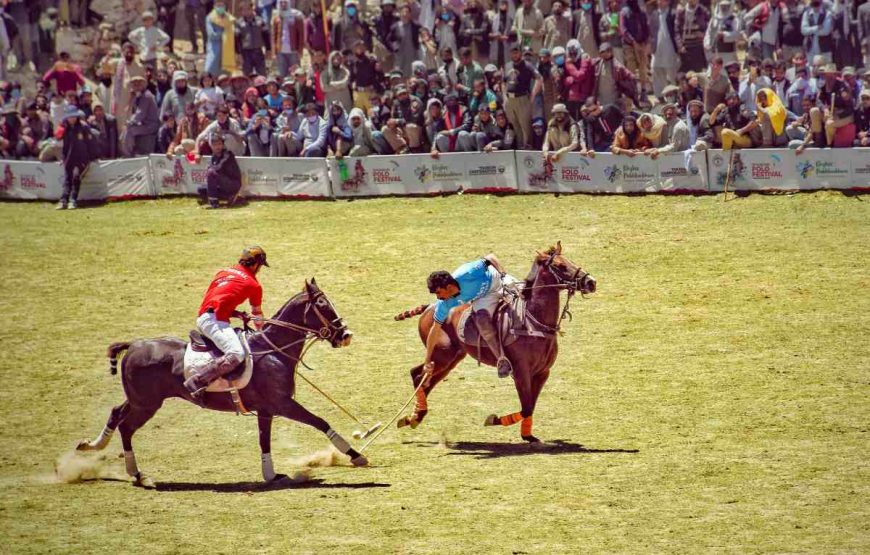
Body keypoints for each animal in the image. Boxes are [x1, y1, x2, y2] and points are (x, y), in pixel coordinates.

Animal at [76, 280, 372, 488]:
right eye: (323, 305)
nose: (346, 335)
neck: (273, 350)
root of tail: (134, 345)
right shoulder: (282, 404)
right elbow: (320, 422)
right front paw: (356, 455)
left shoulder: (266, 410)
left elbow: (264, 441)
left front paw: (271, 475)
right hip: (147, 404)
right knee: (126, 427)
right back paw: (138, 475)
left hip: (139, 399)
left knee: (116, 413)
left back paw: (92, 446)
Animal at [398, 245, 596, 446]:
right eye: (560, 266)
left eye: (569, 260)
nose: (590, 282)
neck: (533, 322)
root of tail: (429, 307)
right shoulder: (521, 372)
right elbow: (525, 407)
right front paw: (493, 420)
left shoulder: (542, 373)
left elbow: (530, 407)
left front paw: (528, 436)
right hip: (441, 356)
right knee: (418, 374)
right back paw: (414, 416)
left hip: (452, 358)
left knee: (426, 381)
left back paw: (414, 417)